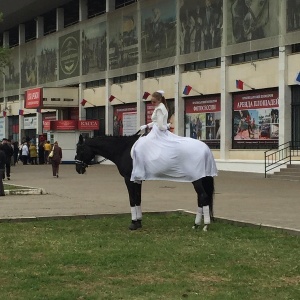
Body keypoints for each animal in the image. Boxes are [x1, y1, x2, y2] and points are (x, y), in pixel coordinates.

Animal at [75, 135, 216, 231]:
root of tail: (205, 148)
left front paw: (133, 223)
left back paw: (205, 225)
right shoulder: (137, 180)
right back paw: (196, 224)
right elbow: (138, 199)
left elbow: (132, 199)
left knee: (203, 197)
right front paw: (138, 222)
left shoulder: (128, 179)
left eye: (79, 150)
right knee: (201, 198)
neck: (123, 149)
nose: (78, 169)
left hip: (197, 179)